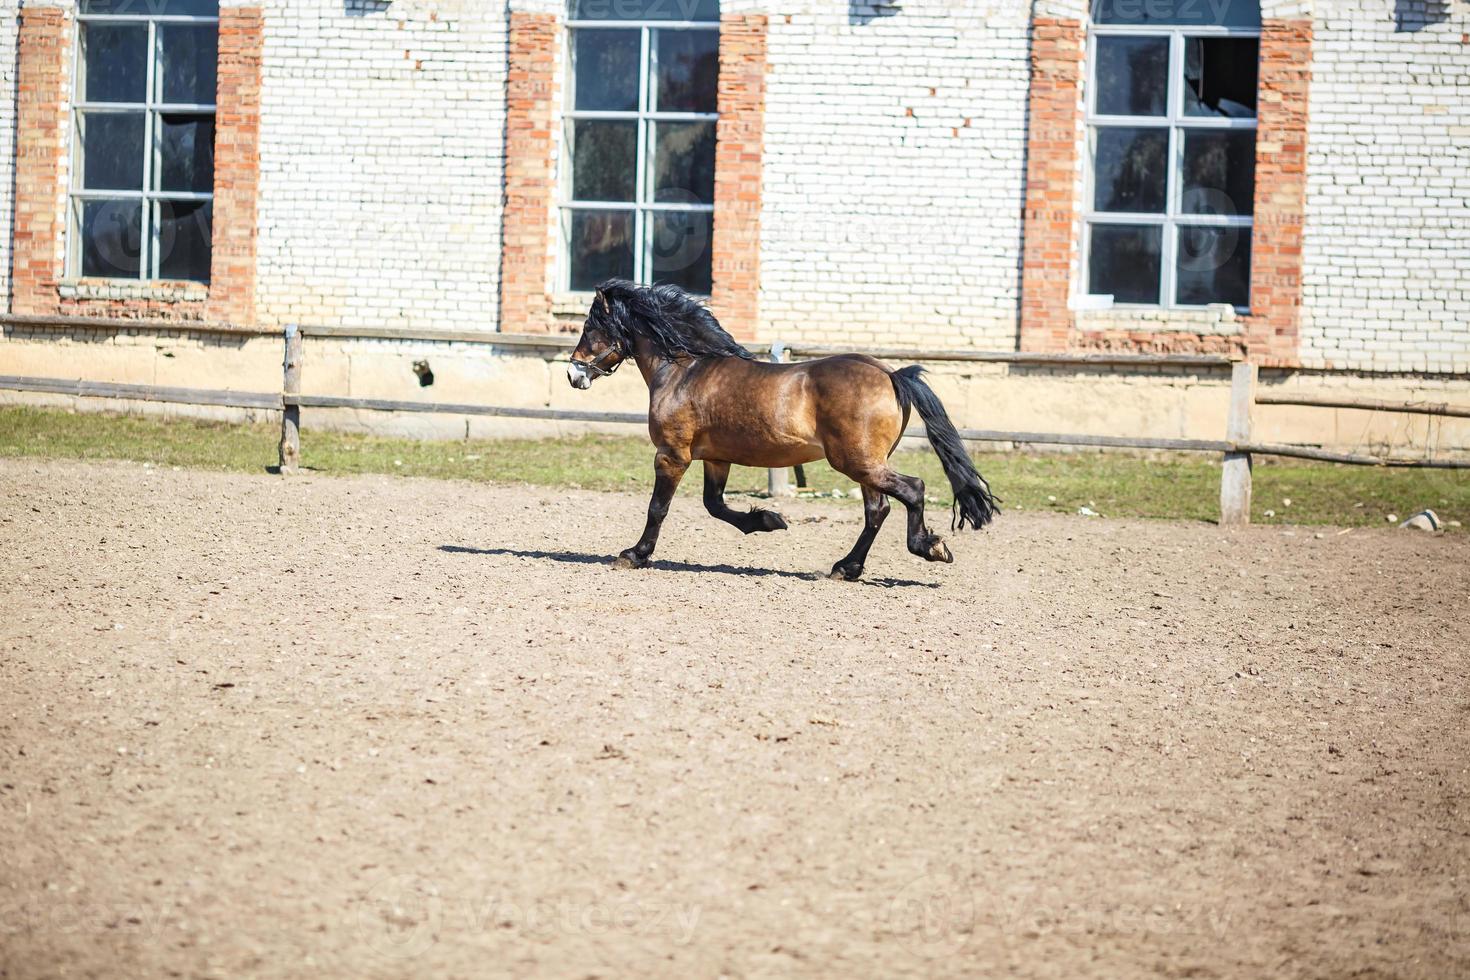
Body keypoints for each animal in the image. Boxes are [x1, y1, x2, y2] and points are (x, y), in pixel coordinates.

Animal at [564, 279, 999, 578]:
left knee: (912, 490)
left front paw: (634, 554)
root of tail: (892, 375)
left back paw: (928, 547)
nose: (573, 374)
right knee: (878, 509)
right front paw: (768, 520)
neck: (684, 371)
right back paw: (846, 567)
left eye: (590, 328)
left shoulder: (672, 455)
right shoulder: (716, 459)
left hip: (856, 462)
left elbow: (658, 508)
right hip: (866, 465)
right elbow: (715, 505)